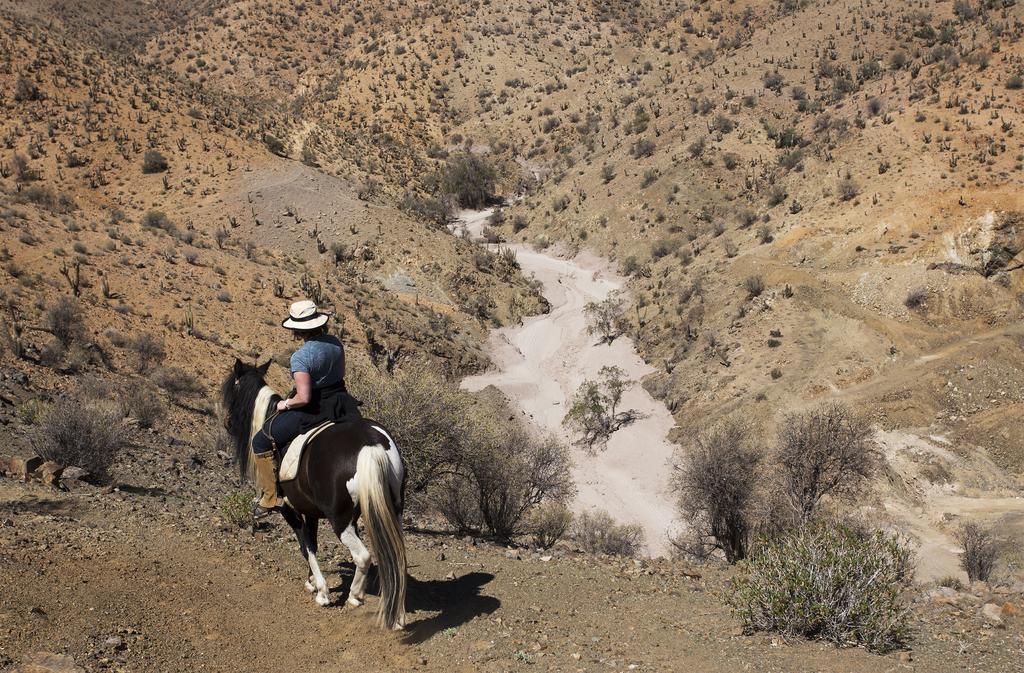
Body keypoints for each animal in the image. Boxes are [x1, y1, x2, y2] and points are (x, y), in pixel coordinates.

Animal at [220, 360, 407, 626]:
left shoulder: (290, 509)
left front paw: (320, 590)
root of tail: (371, 445)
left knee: (362, 556)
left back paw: (354, 597)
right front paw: (312, 581)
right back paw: (398, 615)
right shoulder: (310, 511)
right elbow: (313, 543)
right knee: (397, 555)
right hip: (392, 510)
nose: (227, 422)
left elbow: (305, 545)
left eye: (231, 393)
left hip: (341, 520)